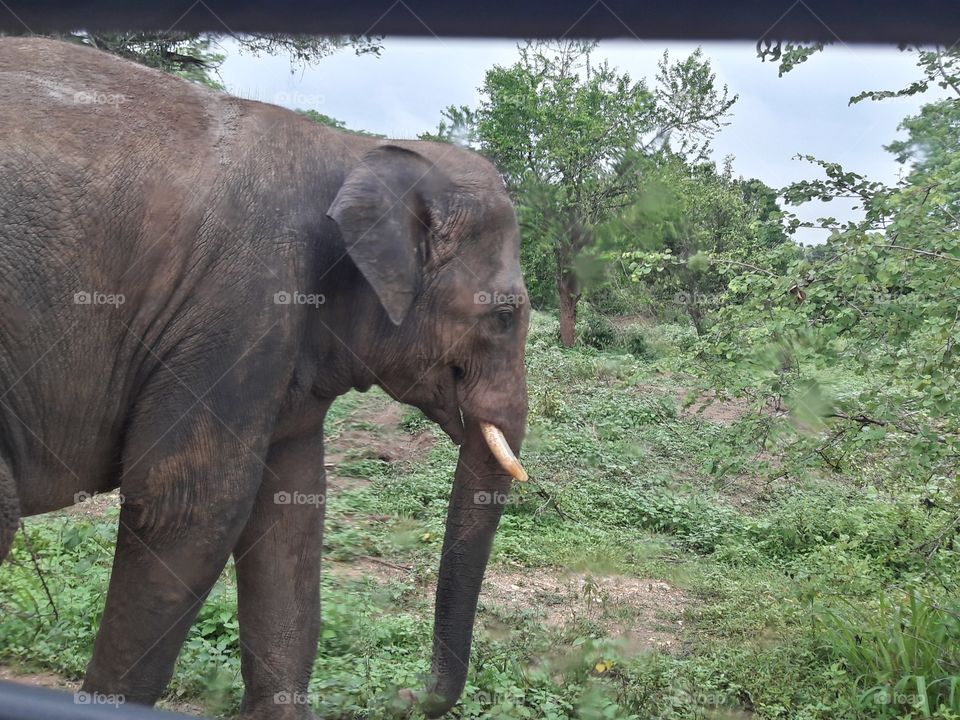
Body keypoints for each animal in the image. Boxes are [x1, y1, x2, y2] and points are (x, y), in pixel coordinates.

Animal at [0, 37, 529, 718]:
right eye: (504, 316)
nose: (404, 690)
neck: (356, 150)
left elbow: (291, 510)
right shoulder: (238, 303)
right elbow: (190, 503)